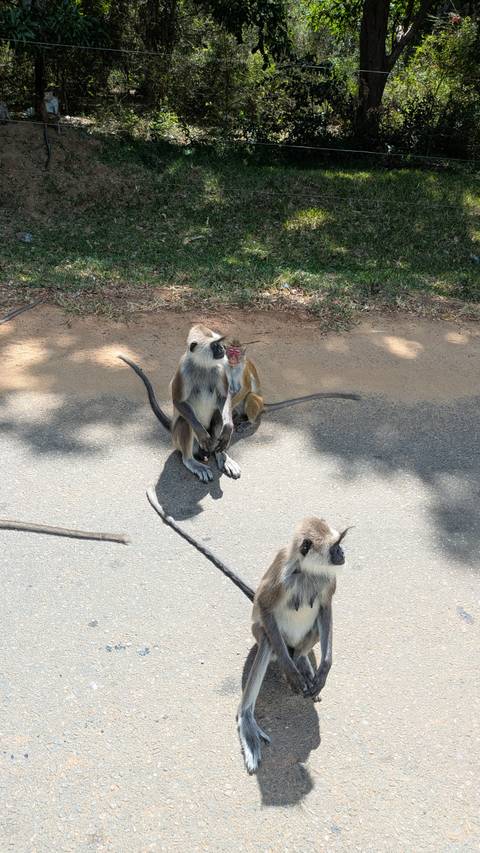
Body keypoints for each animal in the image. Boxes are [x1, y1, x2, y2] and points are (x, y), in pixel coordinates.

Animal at [119, 324, 240, 483]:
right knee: (184, 421)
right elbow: (178, 401)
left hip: (213, 440)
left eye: (219, 343)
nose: (223, 349)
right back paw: (191, 461)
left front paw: (228, 429)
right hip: (178, 441)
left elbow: (224, 397)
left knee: (219, 417)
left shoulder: (220, 369)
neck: (202, 365)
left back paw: (222, 456)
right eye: (215, 345)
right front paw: (202, 435)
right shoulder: (183, 370)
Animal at [146, 486, 349, 773]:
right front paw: (292, 673)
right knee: (268, 640)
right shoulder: (282, 574)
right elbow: (264, 605)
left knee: (315, 632)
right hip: (263, 635)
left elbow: (326, 607)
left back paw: (302, 662)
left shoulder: (327, 580)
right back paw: (249, 715)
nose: (343, 554)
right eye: (335, 547)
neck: (307, 571)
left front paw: (323, 669)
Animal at [225, 339, 360, 426]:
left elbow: (246, 388)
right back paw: (238, 416)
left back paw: (250, 422)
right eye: (230, 352)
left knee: (251, 396)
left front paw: (230, 407)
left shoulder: (244, 370)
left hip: (258, 403)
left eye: (237, 353)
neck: (234, 366)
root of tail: (263, 404)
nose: (232, 358)